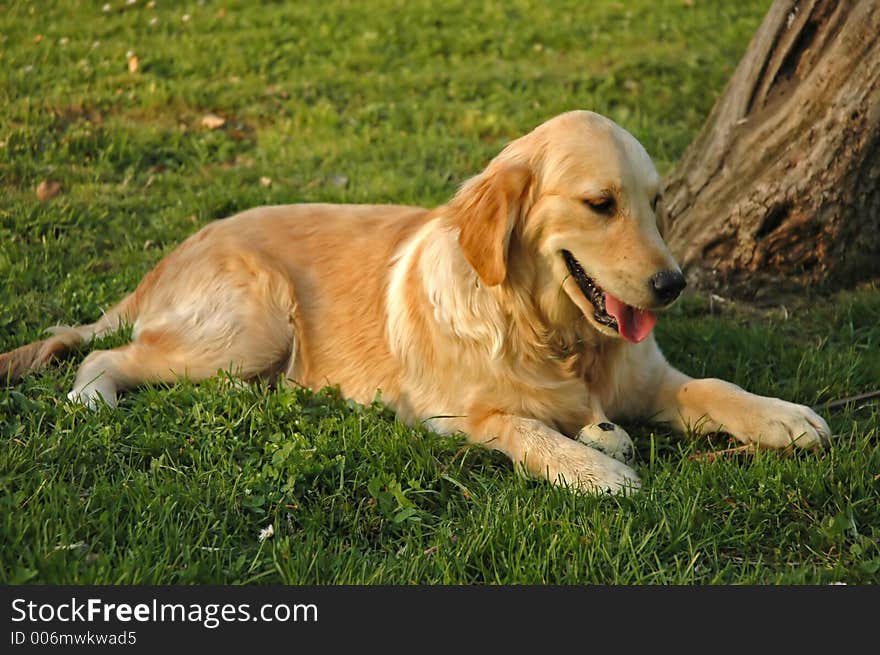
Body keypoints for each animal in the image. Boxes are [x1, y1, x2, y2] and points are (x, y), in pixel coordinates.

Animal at [0, 111, 828, 492]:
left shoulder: (651, 377)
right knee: (106, 353)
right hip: (250, 321)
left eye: (656, 204)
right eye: (601, 204)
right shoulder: (449, 414)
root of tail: (177, 249)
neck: (550, 332)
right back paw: (92, 400)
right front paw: (592, 467)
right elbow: (523, 426)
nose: (672, 284)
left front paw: (783, 416)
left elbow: (715, 386)